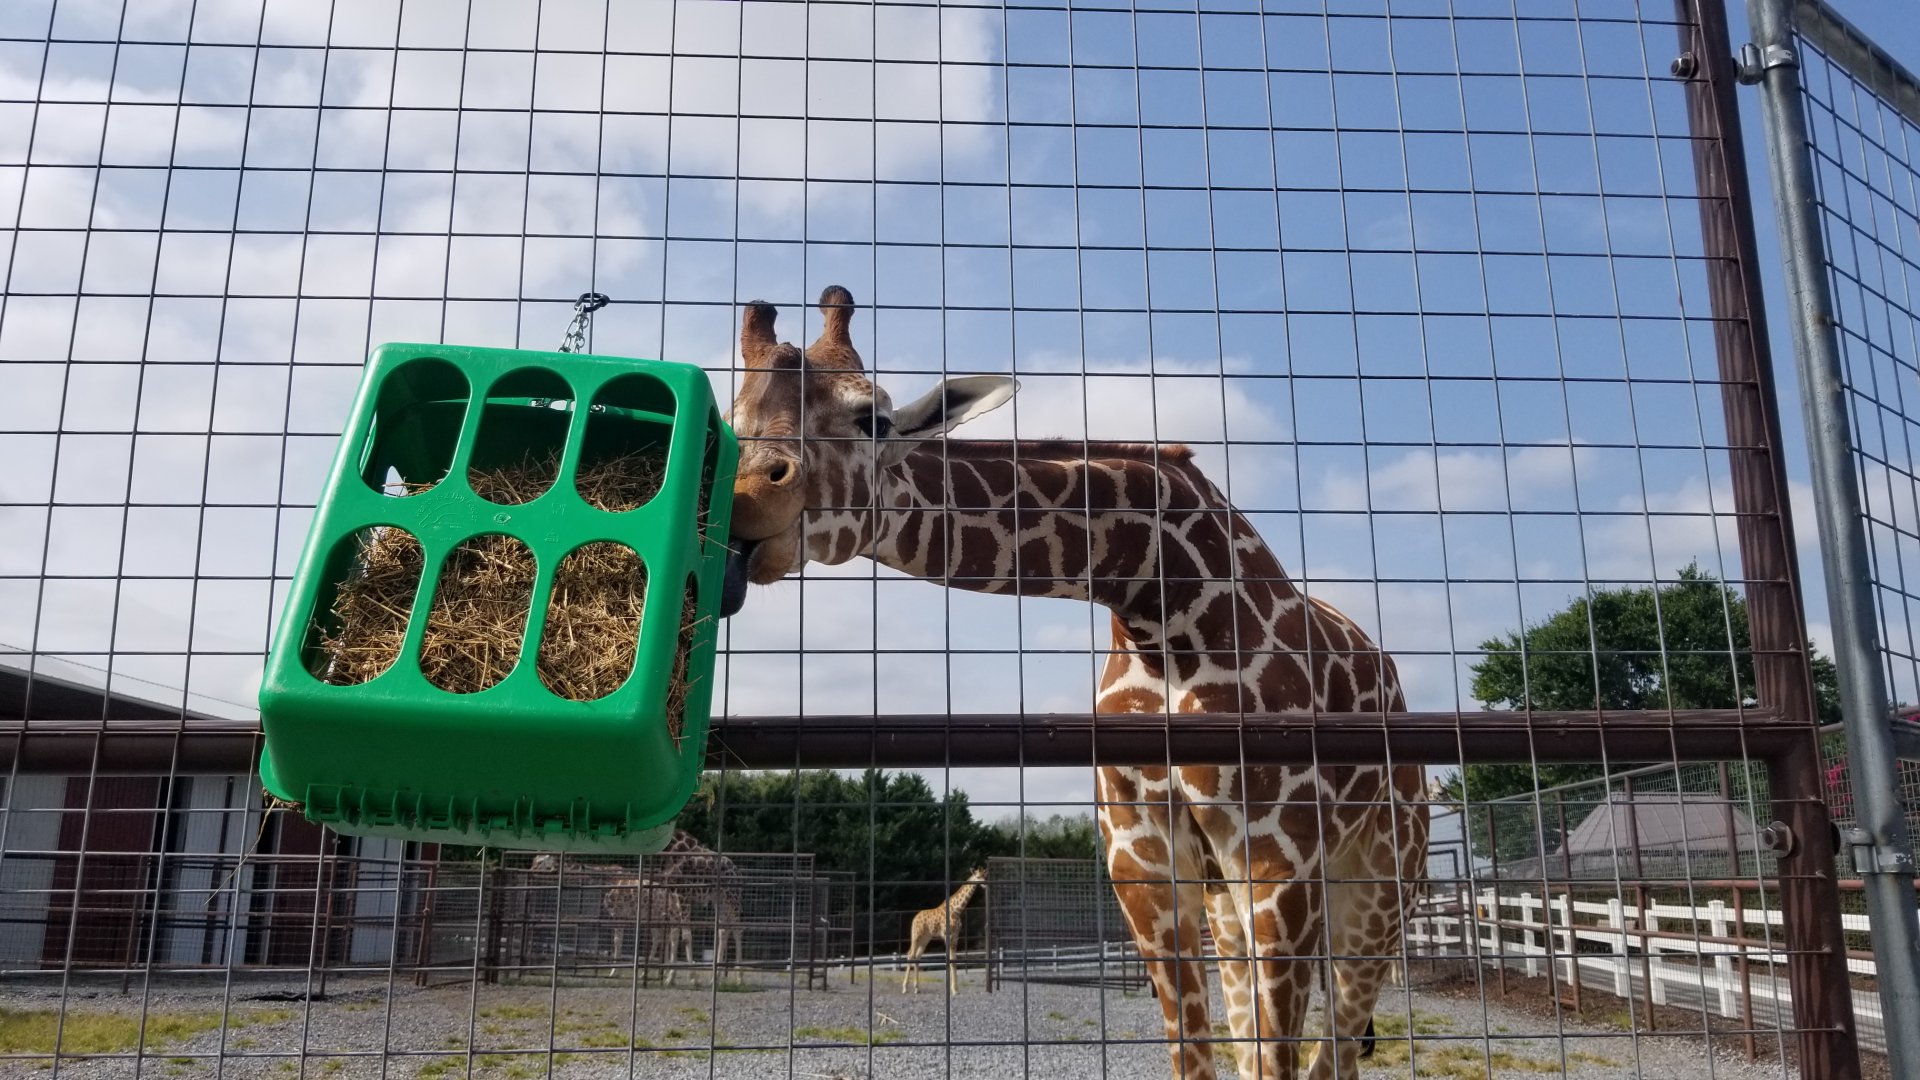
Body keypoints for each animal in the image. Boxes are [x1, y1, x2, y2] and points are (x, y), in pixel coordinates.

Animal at [720, 287, 1429, 1080]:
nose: (748, 499)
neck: (1163, 611)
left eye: (870, 417)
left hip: (1381, 883)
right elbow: (1197, 1055)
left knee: (1336, 1047)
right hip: (1235, 901)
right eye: (733, 420)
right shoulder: (1145, 864)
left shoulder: (1280, 862)